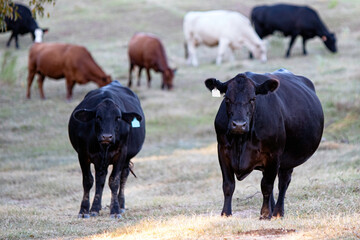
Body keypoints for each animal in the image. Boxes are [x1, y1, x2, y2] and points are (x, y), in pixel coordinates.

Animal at [68, 79, 146, 218]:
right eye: (98, 117)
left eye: (118, 117)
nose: (107, 136)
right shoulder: (82, 155)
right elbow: (88, 181)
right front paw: (84, 210)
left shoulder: (121, 154)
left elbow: (114, 181)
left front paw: (115, 210)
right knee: (100, 179)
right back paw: (95, 208)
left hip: (126, 158)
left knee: (123, 176)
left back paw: (121, 205)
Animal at [204, 68, 324, 218]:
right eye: (227, 98)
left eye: (253, 99)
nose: (239, 125)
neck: (241, 142)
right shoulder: (223, 151)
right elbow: (228, 185)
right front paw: (226, 213)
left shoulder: (273, 154)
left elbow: (266, 186)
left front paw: (265, 214)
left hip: (288, 159)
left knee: (283, 182)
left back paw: (277, 212)